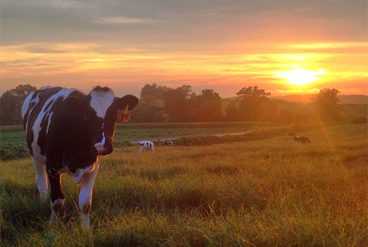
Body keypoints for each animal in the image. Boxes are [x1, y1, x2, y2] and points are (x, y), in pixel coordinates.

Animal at [21, 86, 139, 229]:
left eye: (114, 113)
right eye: (88, 115)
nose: (101, 147)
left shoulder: (92, 168)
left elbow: (85, 202)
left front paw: (86, 229)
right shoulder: (53, 166)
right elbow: (57, 201)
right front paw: (53, 225)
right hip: (35, 156)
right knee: (41, 181)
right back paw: (43, 202)